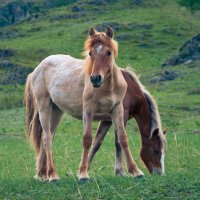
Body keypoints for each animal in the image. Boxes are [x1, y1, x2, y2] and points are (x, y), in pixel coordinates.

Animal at [24, 27, 166, 183]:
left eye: (109, 52)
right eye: (156, 150)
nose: (95, 79)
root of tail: (37, 69)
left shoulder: (114, 113)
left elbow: (117, 140)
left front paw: (134, 171)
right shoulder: (90, 111)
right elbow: (90, 140)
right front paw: (84, 173)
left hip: (56, 111)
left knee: (48, 136)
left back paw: (43, 174)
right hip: (44, 107)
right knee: (47, 138)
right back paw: (53, 175)